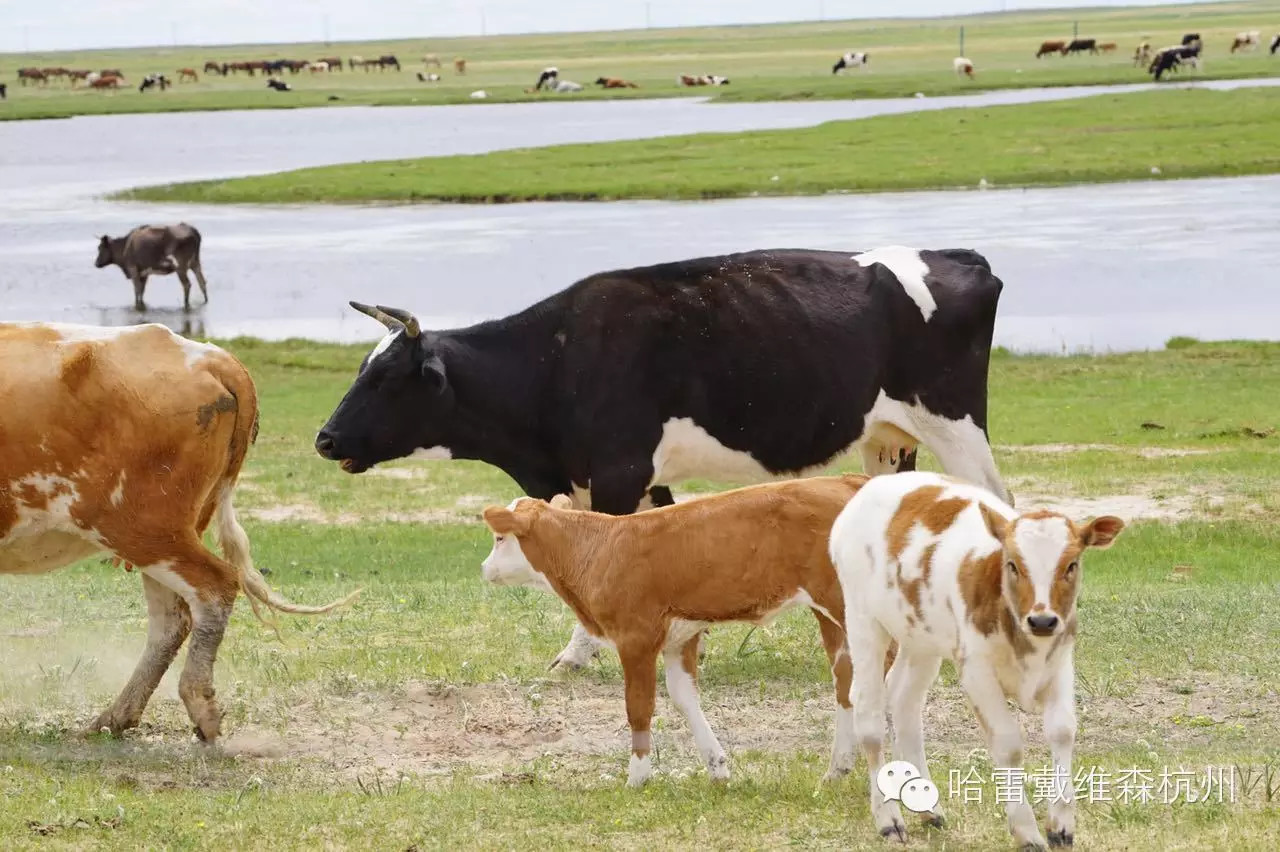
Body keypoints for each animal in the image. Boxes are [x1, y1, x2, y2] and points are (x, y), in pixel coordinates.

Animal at [1, 322, 355, 741]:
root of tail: (210, 356)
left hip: (144, 528)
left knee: (214, 587)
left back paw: (199, 705)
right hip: (164, 534)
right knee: (173, 619)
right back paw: (117, 716)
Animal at [317, 245, 1008, 670]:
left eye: (386, 379)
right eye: (360, 369)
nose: (325, 438)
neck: (555, 360)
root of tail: (958, 256)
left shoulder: (617, 473)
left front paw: (578, 654)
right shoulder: (628, 478)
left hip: (956, 427)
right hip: (886, 441)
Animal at [483, 470, 875, 782]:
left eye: (499, 539)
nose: (484, 568)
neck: (601, 548)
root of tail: (847, 480)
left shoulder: (636, 637)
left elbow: (639, 706)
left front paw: (637, 778)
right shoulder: (679, 637)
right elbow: (684, 697)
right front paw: (717, 767)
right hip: (831, 617)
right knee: (846, 681)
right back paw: (837, 770)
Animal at [829, 470, 1121, 849]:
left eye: (1071, 564)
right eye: (1012, 565)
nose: (1042, 621)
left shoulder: (1060, 663)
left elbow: (1062, 731)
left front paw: (1061, 825)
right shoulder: (976, 672)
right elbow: (1009, 744)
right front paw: (1026, 830)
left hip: (921, 639)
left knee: (905, 704)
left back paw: (927, 808)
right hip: (863, 620)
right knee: (868, 712)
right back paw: (889, 819)